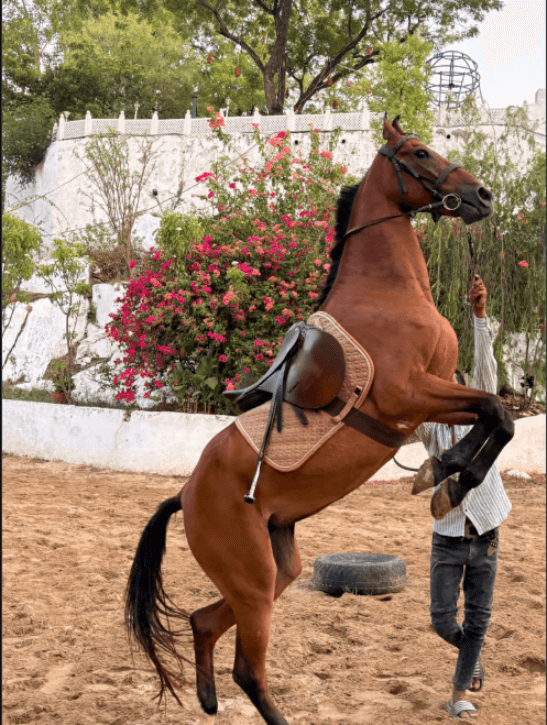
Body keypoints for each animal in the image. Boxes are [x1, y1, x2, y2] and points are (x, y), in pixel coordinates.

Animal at [125, 115, 514, 725]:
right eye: (419, 152)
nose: (483, 195)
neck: (389, 294)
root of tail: (184, 496)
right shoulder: (409, 396)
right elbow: (497, 411)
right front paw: (448, 476)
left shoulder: (433, 396)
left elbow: (498, 414)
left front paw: (445, 479)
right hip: (255, 583)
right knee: (248, 669)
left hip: (274, 570)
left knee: (203, 622)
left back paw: (208, 700)